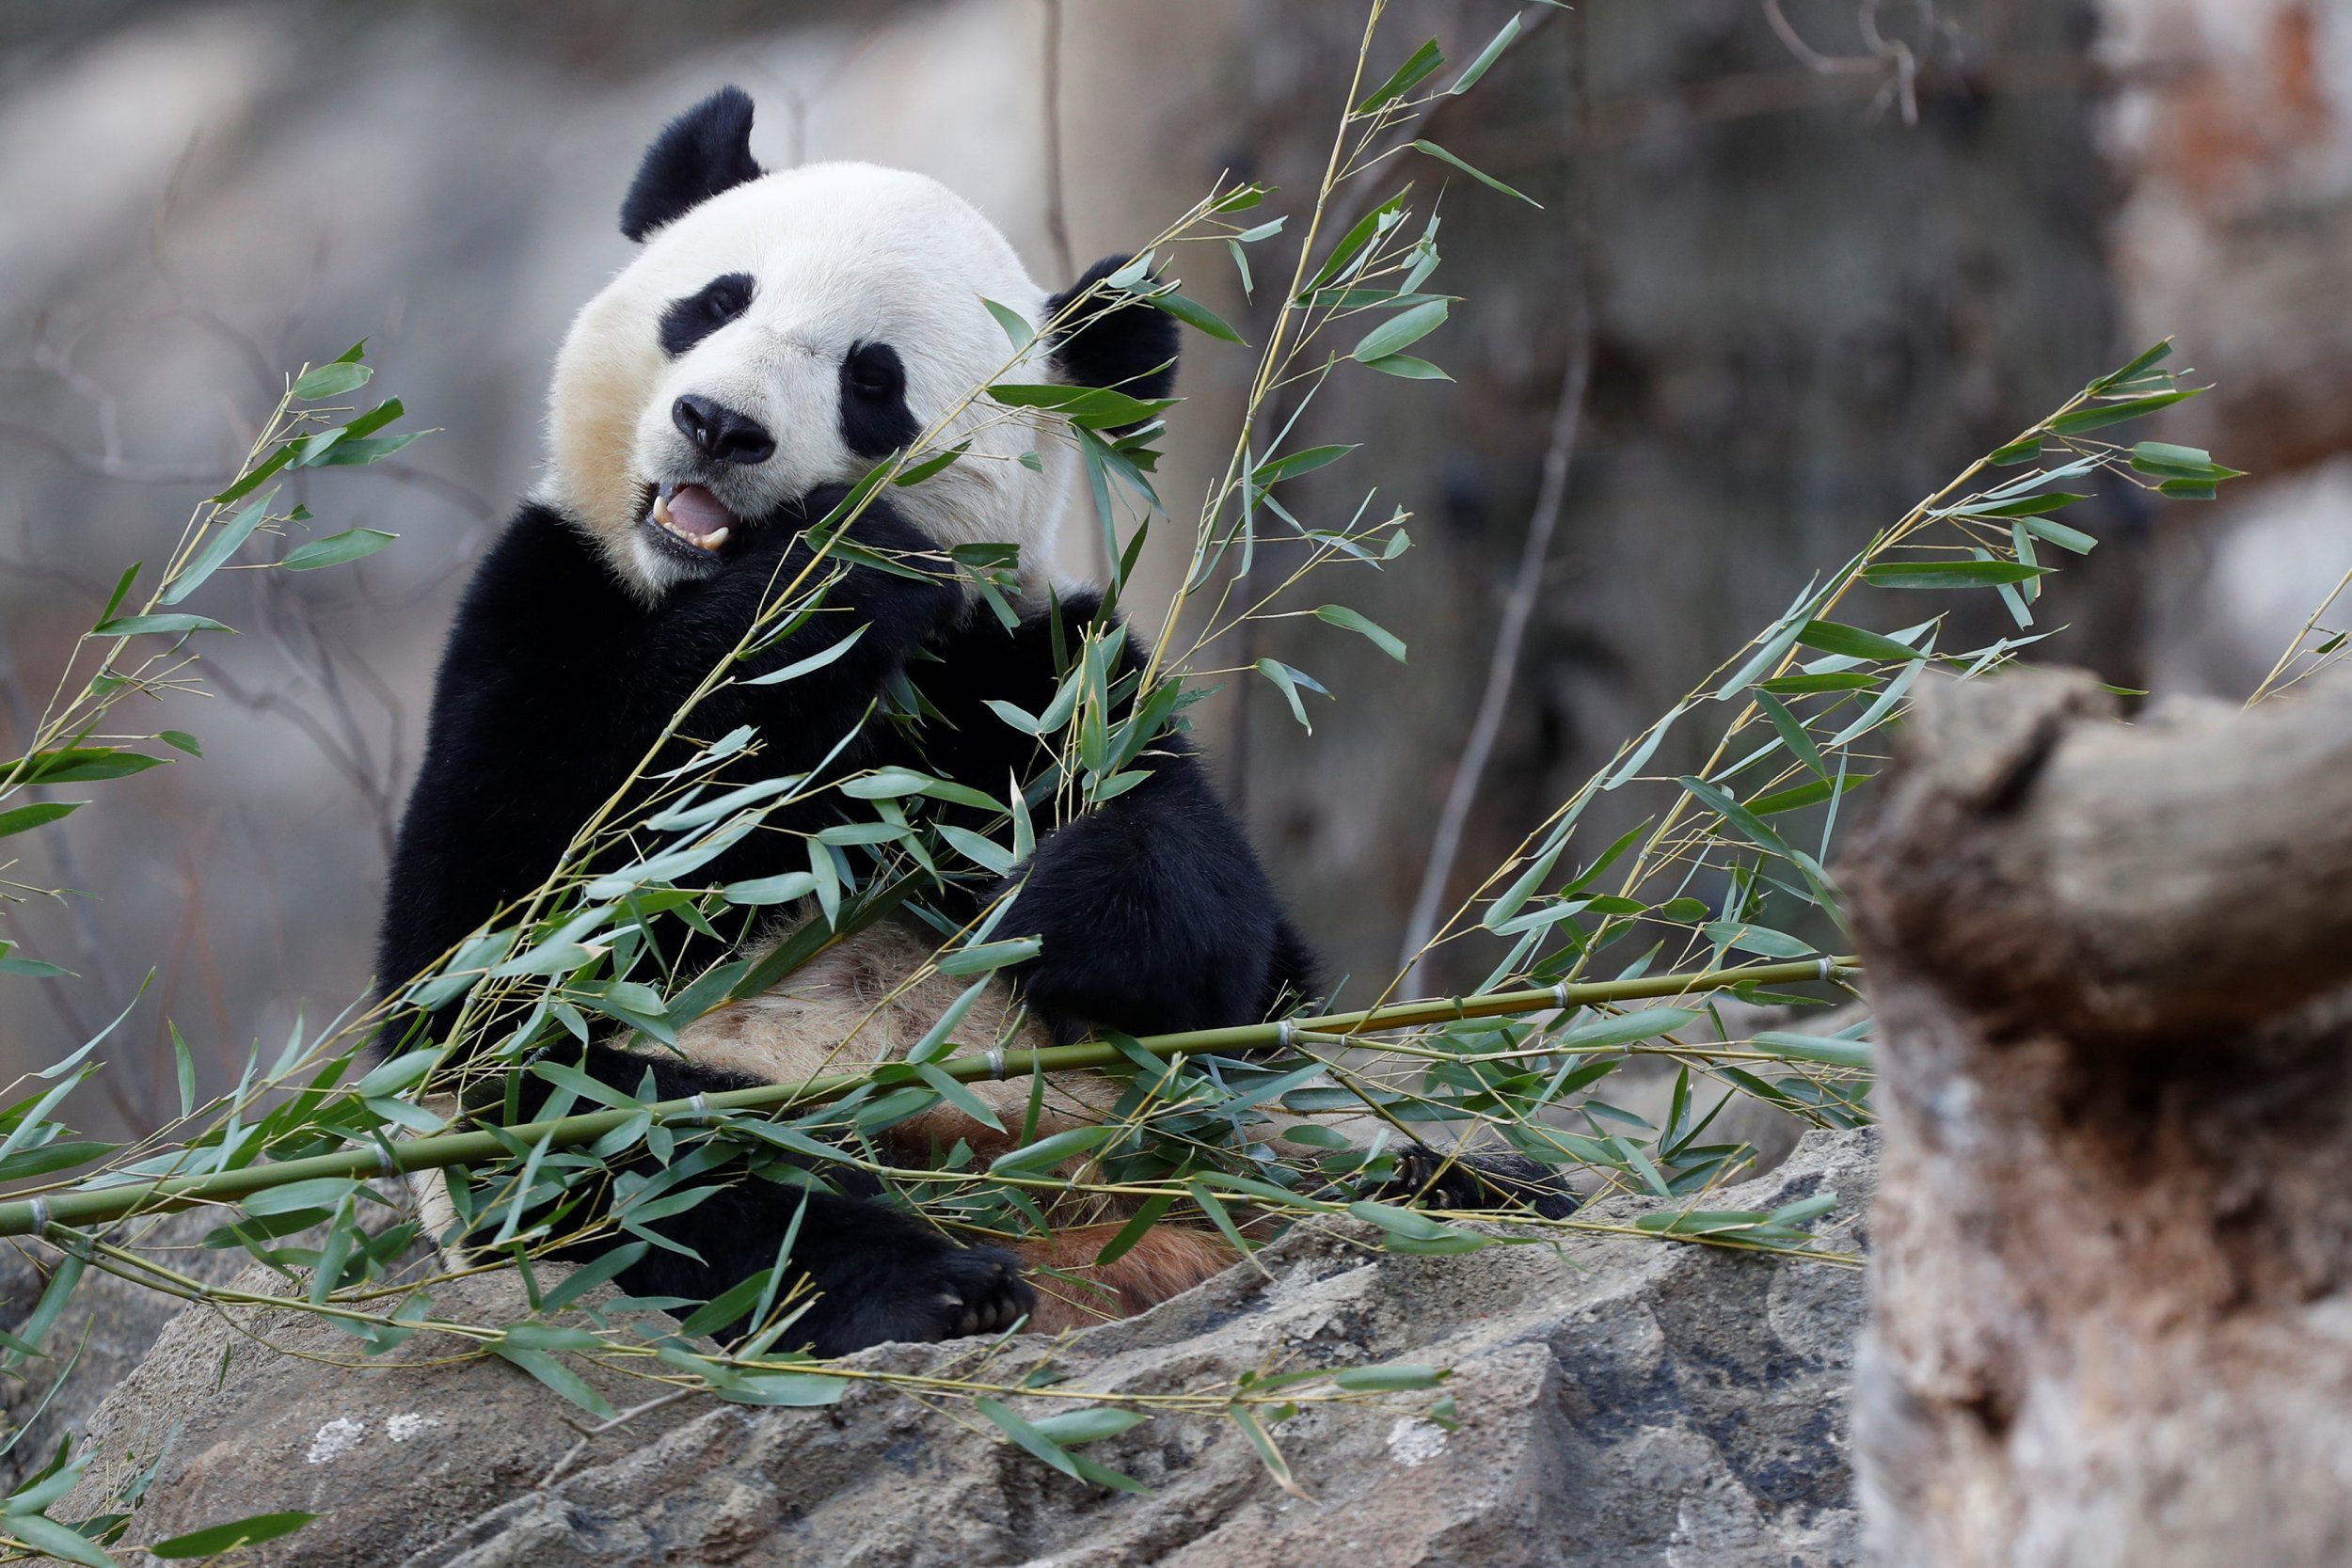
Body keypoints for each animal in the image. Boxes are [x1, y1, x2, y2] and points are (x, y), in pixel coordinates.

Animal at [376, 88, 1562, 1363]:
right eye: (713, 302)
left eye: (872, 380)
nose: (718, 425)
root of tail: (1071, 1208)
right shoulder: (546, 598)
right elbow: (499, 906)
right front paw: (825, 581)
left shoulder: (1031, 665)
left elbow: (1223, 931)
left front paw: (1070, 916)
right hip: (672, 1093)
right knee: (618, 1144)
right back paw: (921, 1280)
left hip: (1216, 1113)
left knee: (1356, 1156)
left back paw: (1480, 1188)